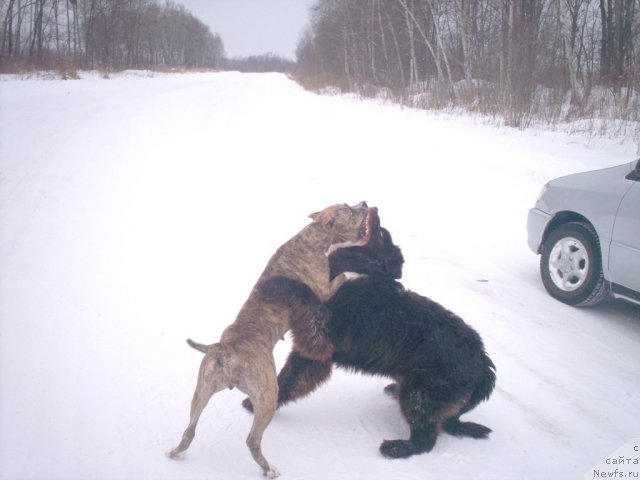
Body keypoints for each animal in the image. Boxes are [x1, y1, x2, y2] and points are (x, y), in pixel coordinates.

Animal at [168, 202, 378, 476]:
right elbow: (342, 277)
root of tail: (226, 351)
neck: (312, 238)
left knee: (189, 430)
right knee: (252, 440)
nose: (364, 203)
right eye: (349, 211)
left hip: (202, 391)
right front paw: (355, 274)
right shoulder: (323, 290)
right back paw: (269, 470)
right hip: (268, 396)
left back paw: (176, 453)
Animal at [245, 227, 496, 460]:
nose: (380, 224)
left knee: (426, 440)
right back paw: (395, 390)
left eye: (384, 237)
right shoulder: (310, 354)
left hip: (419, 393)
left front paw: (275, 282)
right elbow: (288, 380)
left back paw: (396, 448)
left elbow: (303, 292)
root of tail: (483, 363)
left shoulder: (321, 336)